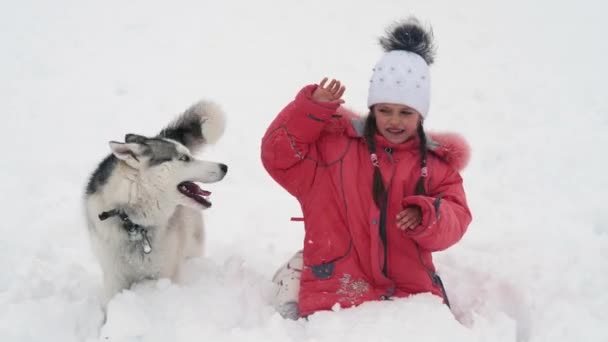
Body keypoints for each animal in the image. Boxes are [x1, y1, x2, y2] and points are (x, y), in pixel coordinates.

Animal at [84, 100, 227, 304]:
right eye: (184, 158)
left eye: (188, 154)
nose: (225, 167)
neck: (134, 223)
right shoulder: (114, 278)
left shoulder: (166, 273)